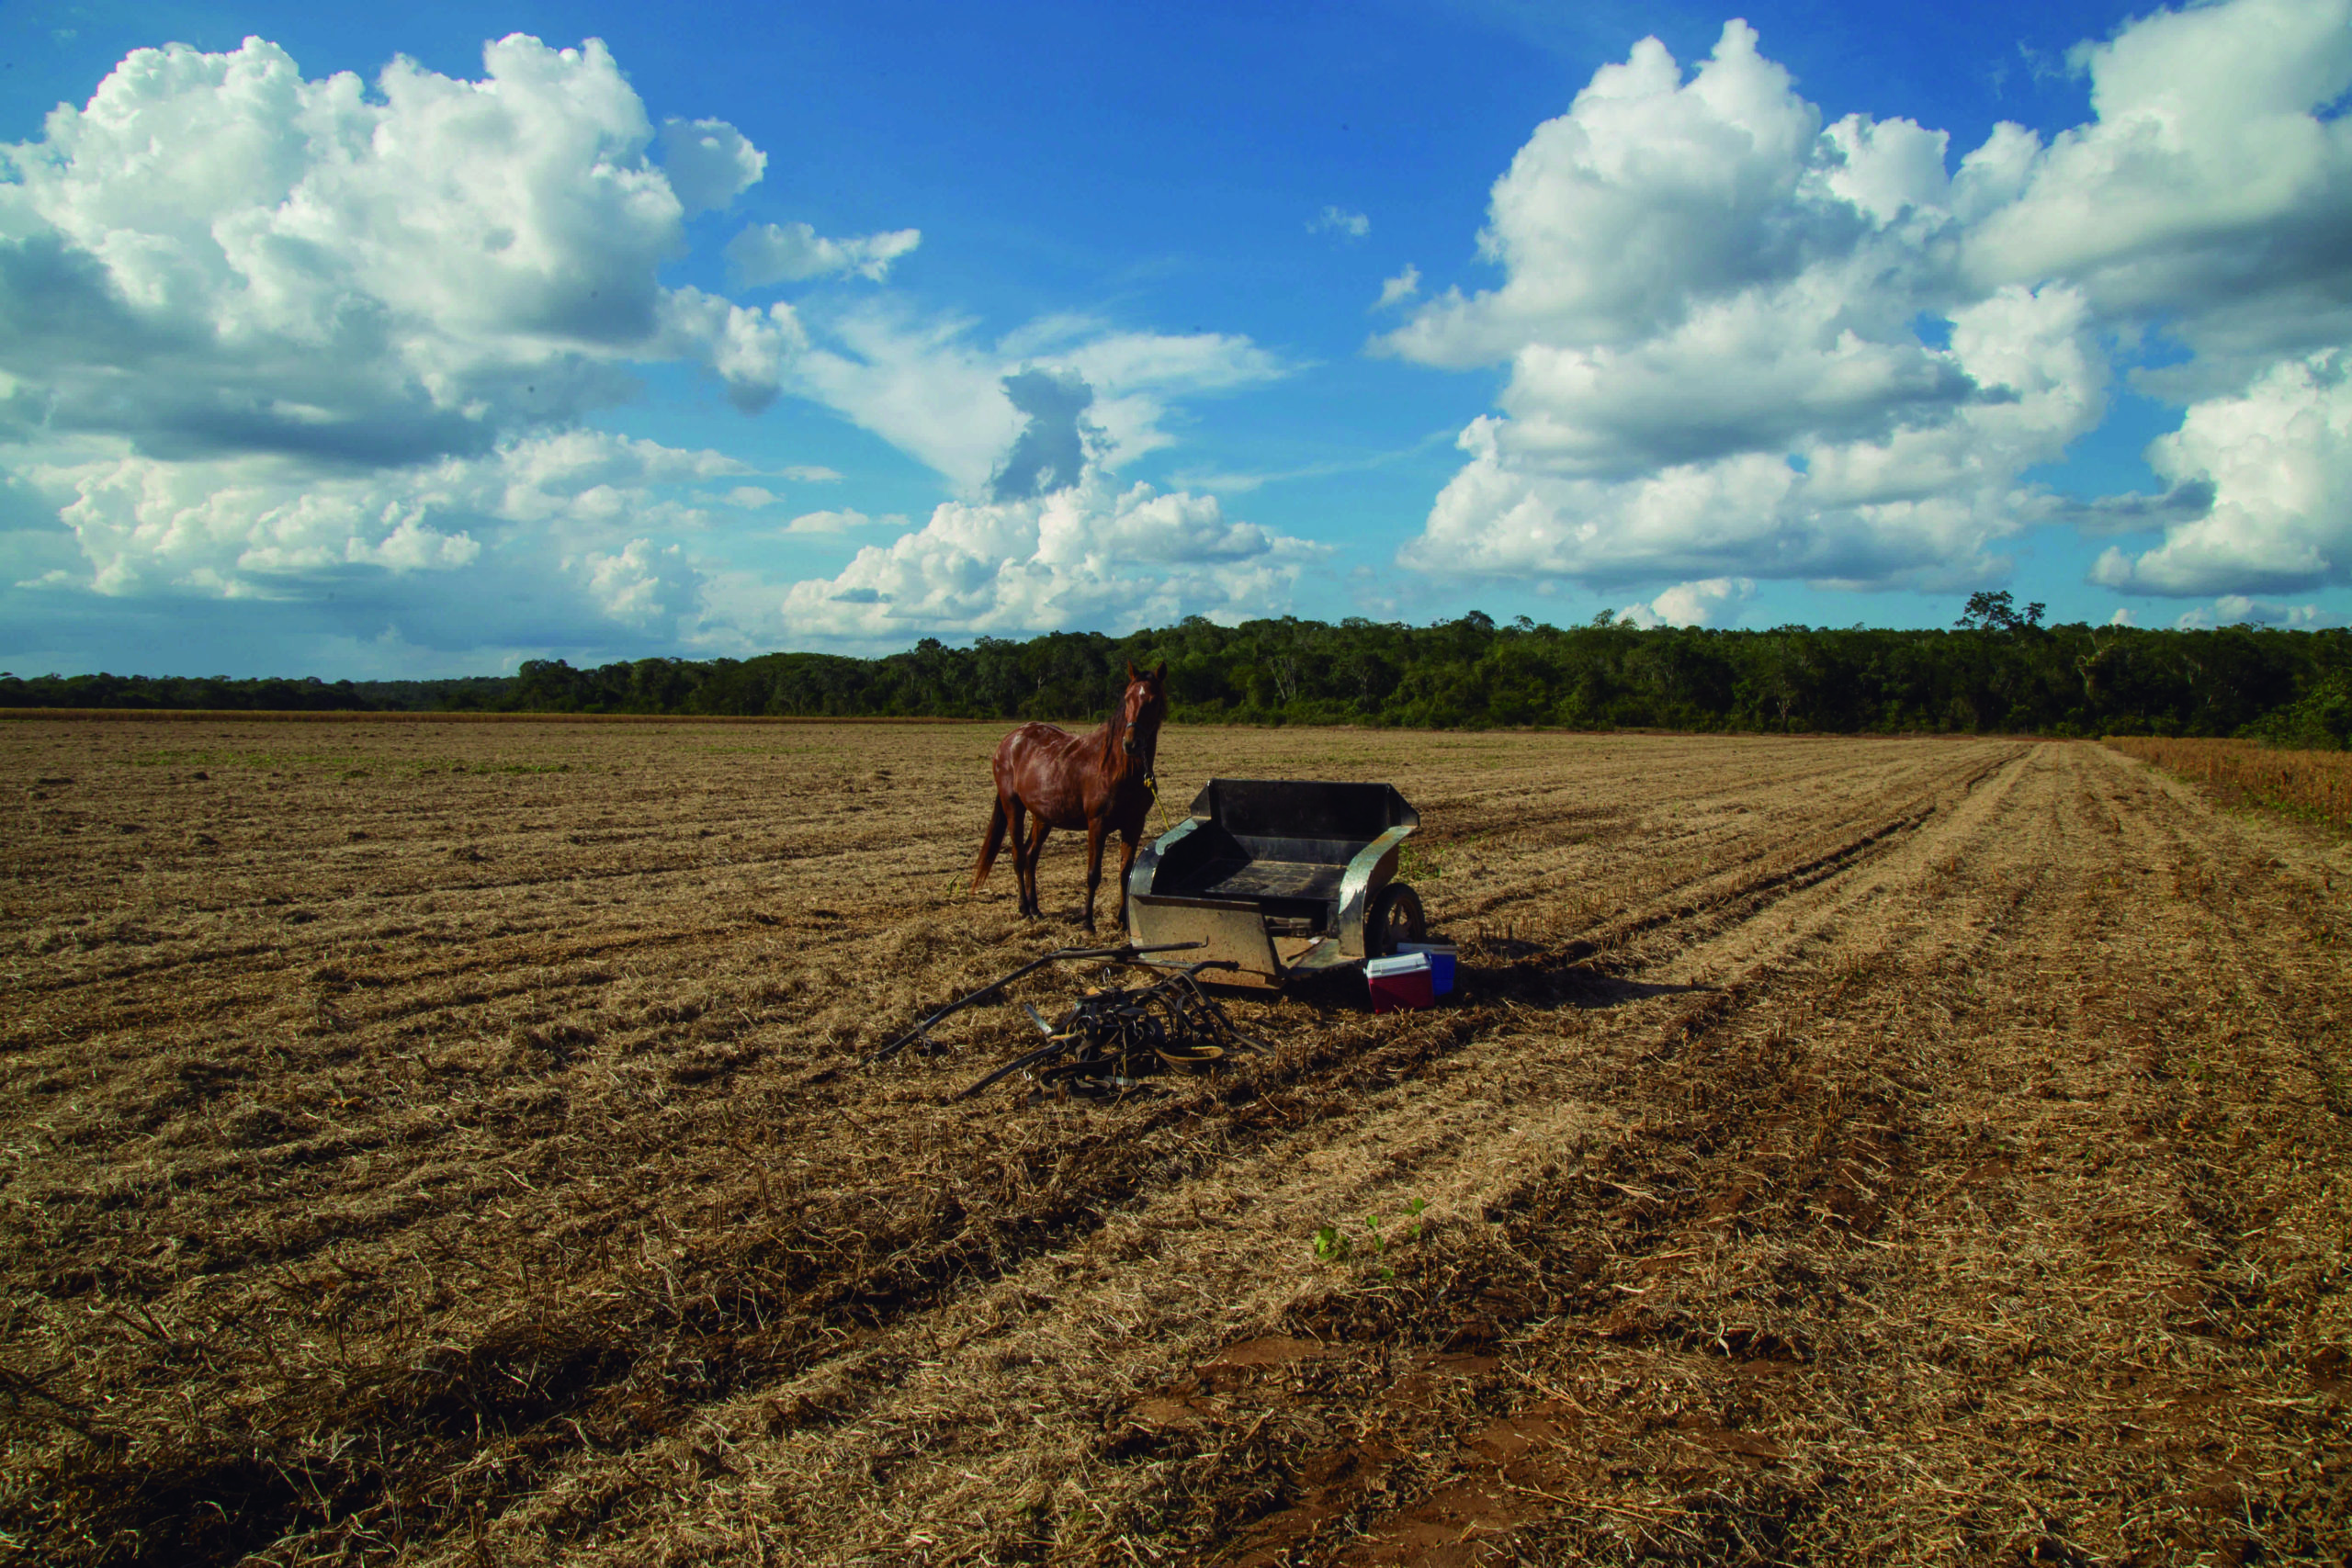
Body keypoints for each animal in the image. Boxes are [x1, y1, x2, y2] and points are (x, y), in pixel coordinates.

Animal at [964, 662, 1166, 931]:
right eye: (1127, 698)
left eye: (1153, 700)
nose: (1131, 743)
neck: (1117, 767)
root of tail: (1009, 740)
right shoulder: (1097, 824)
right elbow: (1093, 874)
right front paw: (1088, 923)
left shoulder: (1134, 825)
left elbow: (1125, 873)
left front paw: (1122, 921)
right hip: (1013, 806)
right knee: (1018, 856)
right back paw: (1024, 909)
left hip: (1042, 816)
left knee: (1031, 855)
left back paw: (1036, 908)